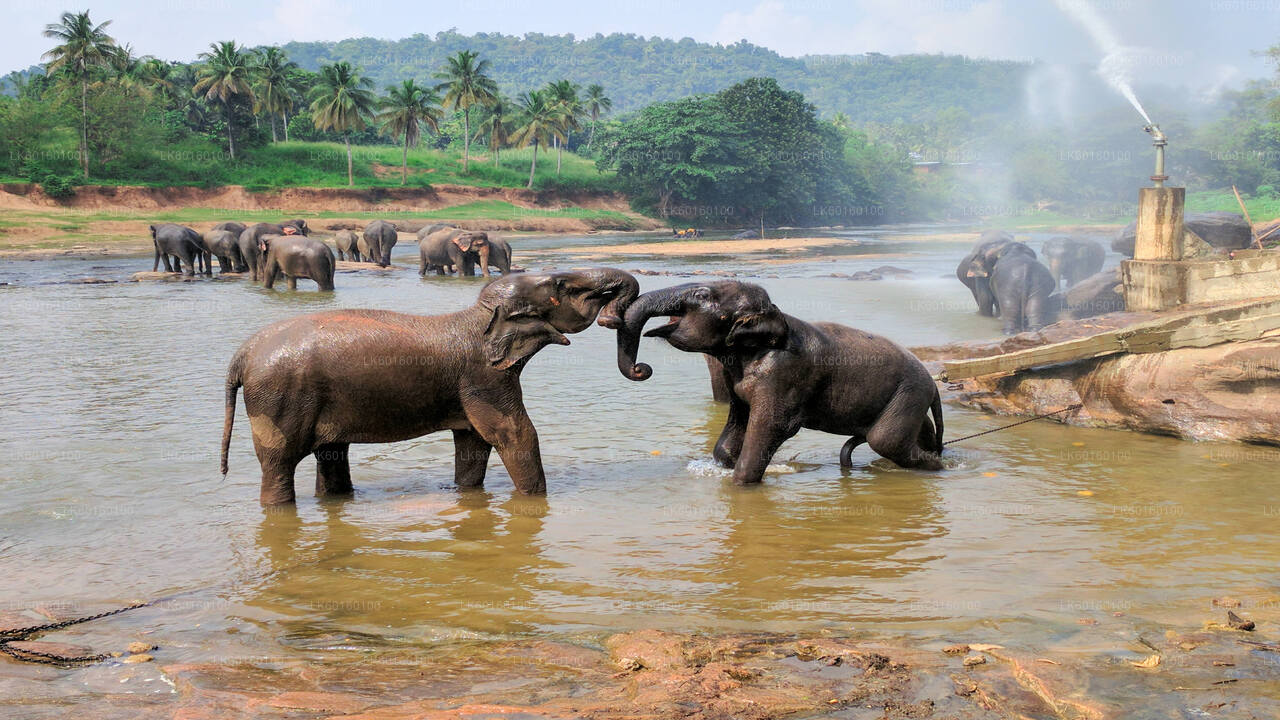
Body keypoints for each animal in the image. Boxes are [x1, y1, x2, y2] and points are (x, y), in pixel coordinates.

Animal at [222, 266, 640, 502]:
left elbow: (473, 443)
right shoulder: (483, 377)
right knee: (278, 464)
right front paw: (535, 501)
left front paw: (467, 495)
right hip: (279, 399)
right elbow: (515, 434)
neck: (477, 317)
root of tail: (241, 355)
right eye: (560, 284)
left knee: (331, 455)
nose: (610, 318)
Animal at [614, 280, 947, 481]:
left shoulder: (783, 373)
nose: (641, 369)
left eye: (701, 296)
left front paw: (741, 484)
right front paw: (727, 464)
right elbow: (735, 426)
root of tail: (933, 385)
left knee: (885, 440)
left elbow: (773, 426)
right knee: (918, 432)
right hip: (908, 399)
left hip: (908, 393)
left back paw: (937, 469)